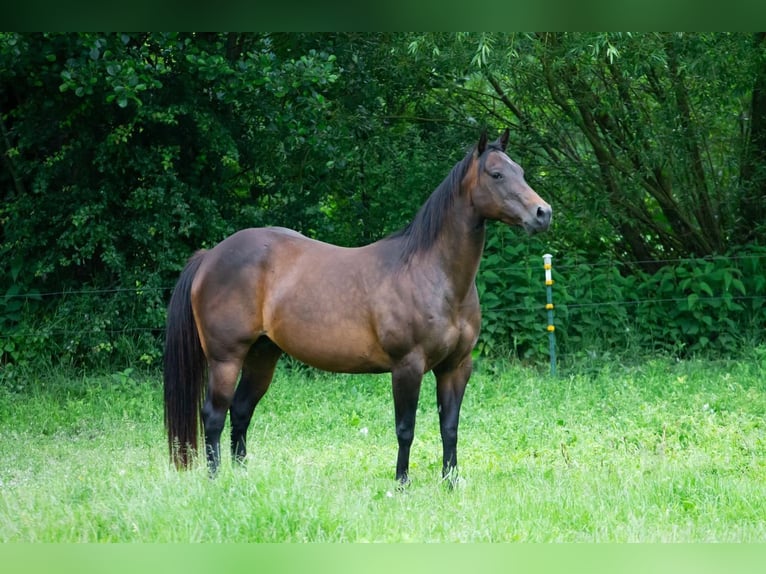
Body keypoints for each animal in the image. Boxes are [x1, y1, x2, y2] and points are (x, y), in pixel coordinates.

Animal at [165, 128, 556, 484]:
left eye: (520, 170)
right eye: (496, 174)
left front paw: (450, 483)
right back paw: (216, 482)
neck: (433, 274)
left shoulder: (456, 367)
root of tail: (210, 256)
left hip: (263, 355)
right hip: (226, 358)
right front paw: (402, 484)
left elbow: (450, 427)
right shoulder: (408, 366)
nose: (543, 213)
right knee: (214, 415)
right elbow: (405, 428)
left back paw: (242, 479)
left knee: (241, 411)